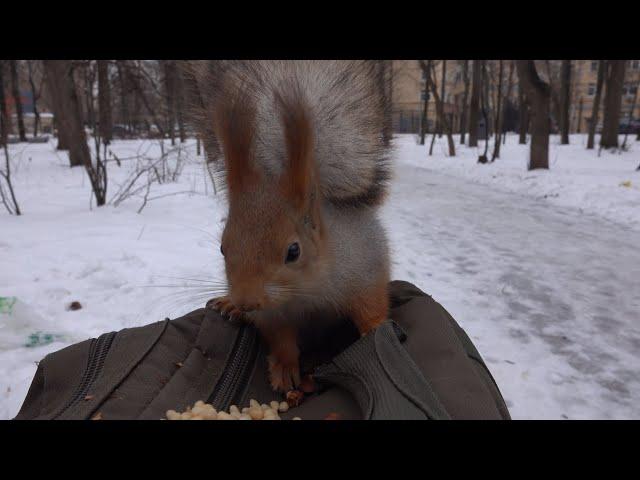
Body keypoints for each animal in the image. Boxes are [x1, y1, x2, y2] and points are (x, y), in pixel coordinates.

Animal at [182, 60, 392, 392]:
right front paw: (284, 367)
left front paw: (376, 330)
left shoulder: (363, 270)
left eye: (294, 251)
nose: (247, 301)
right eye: (222, 248)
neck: (302, 293)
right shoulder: (272, 314)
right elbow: (280, 337)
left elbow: (371, 306)